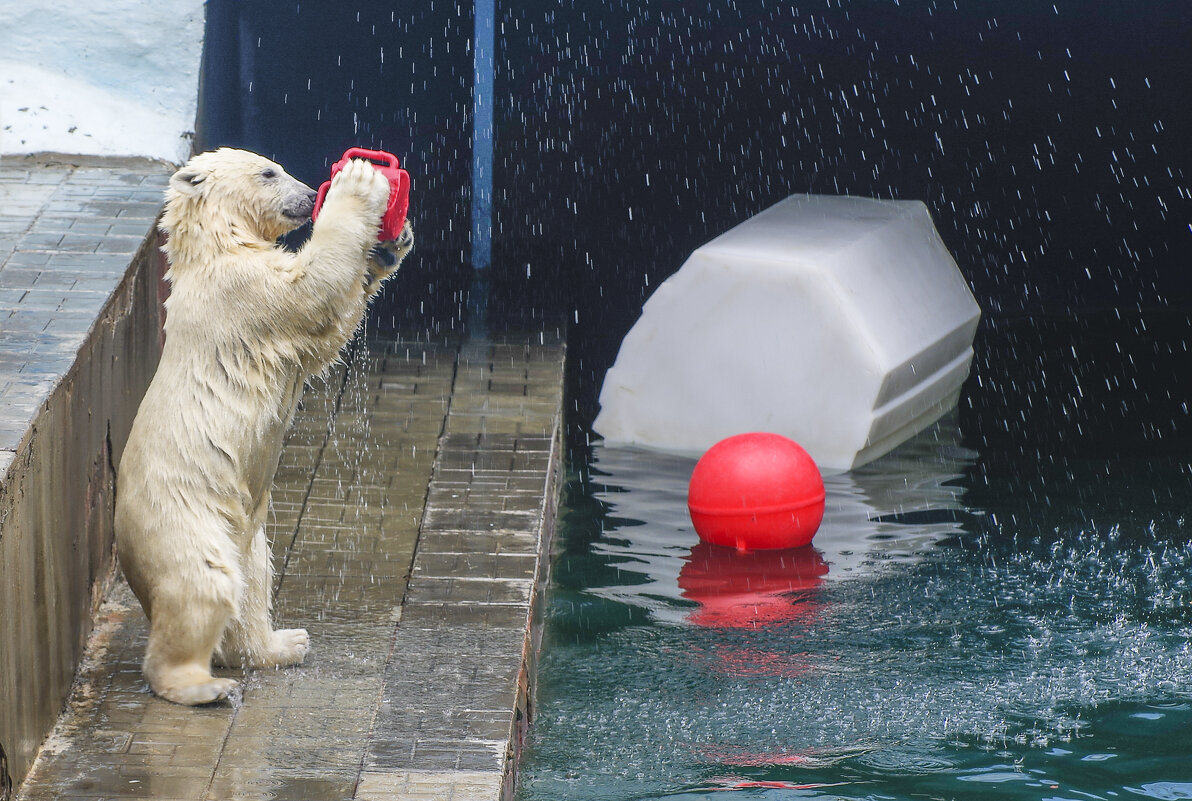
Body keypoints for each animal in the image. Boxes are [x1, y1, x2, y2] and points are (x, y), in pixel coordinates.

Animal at [115, 147, 414, 705]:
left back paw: (284, 643)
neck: (214, 247)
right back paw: (205, 686)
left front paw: (392, 241)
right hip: (183, 518)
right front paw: (360, 182)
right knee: (205, 586)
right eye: (269, 171)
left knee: (253, 579)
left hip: (245, 528)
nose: (308, 193)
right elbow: (311, 292)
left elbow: (328, 330)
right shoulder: (241, 294)